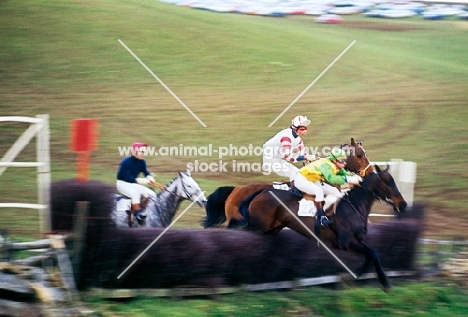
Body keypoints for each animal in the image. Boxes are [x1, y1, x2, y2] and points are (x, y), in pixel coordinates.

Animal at [236, 165, 408, 292]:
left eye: (393, 181)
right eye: (387, 182)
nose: (403, 205)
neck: (353, 205)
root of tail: (262, 191)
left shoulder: (356, 241)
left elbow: (371, 255)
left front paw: (359, 276)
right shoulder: (345, 242)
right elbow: (373, 253)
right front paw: (384, 282)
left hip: (270, 230)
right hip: (258, 228)